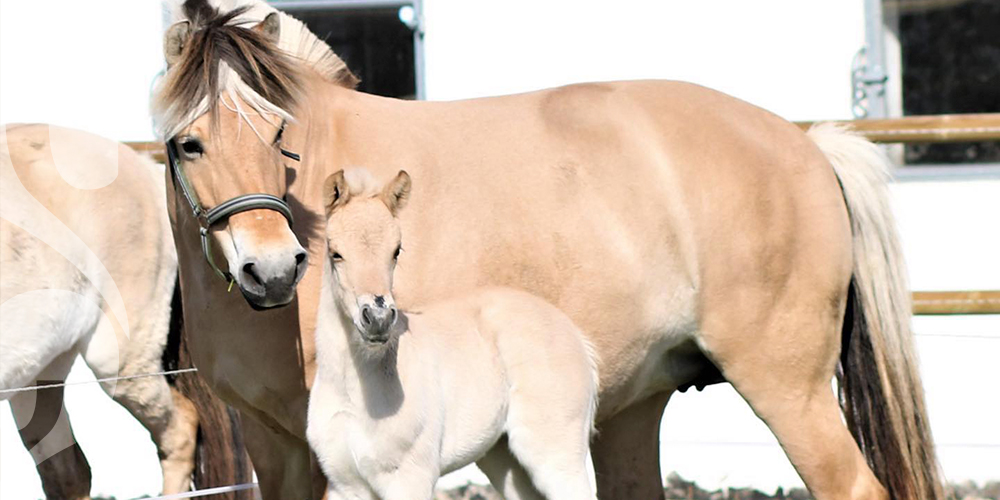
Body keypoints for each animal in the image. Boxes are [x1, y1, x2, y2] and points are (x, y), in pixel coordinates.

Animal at [308, 168, 599, 500]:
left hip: (557, 455)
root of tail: (576, 335)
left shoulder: (410, 480)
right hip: (505, 460)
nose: (378, 318)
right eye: (335, 253)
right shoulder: (345, 486)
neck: (355, 393)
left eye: (396, 250)